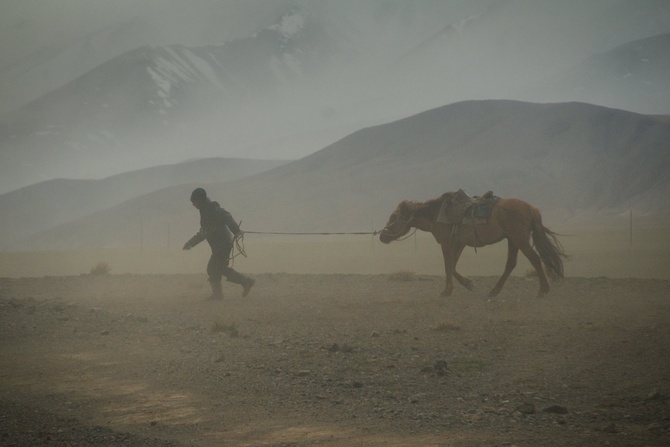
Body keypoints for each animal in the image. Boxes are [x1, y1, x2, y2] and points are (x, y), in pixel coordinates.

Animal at [380, 192, 568, 298]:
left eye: (393, 216)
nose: (382, 236)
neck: (436, 214)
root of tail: (531, 208)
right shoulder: (459, 243)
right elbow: (452, 266)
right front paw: (466, 284)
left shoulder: (446, 244)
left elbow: (448, 267)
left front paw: (447, 291)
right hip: (512, 240)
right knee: (511, 264)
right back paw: (493, 291)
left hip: (519, 239)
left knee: (535, 259)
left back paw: (543, 290)